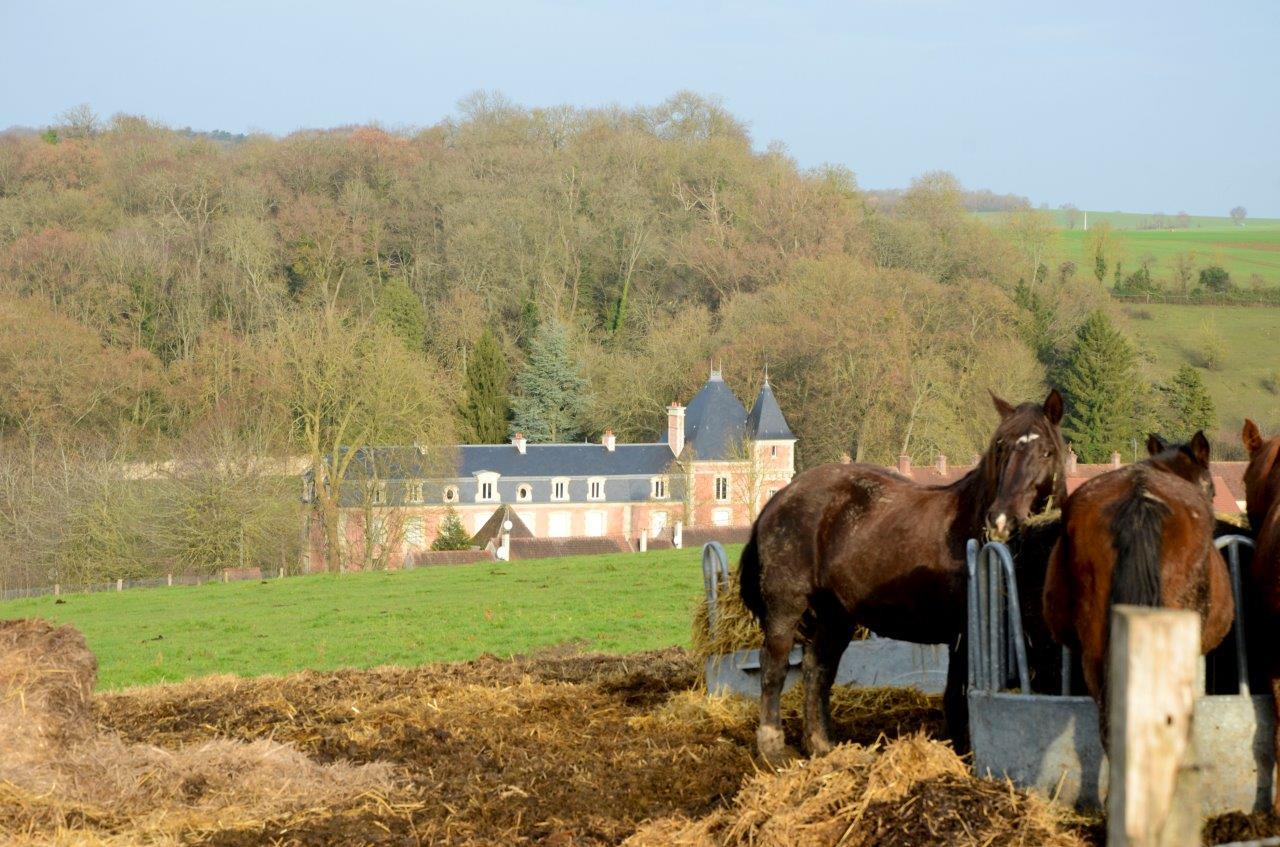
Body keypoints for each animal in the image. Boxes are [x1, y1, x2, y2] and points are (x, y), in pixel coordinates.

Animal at [737, 391, 1064, 762]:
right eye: (1000, 447)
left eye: (1046, 451)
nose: (1001, 519)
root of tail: (778, 499)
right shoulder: (963, 635)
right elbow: (956, 698)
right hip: (785, 608)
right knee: (774, 668)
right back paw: (772, 746)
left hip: (835, 616)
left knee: (816, 670)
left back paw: (822, 745)